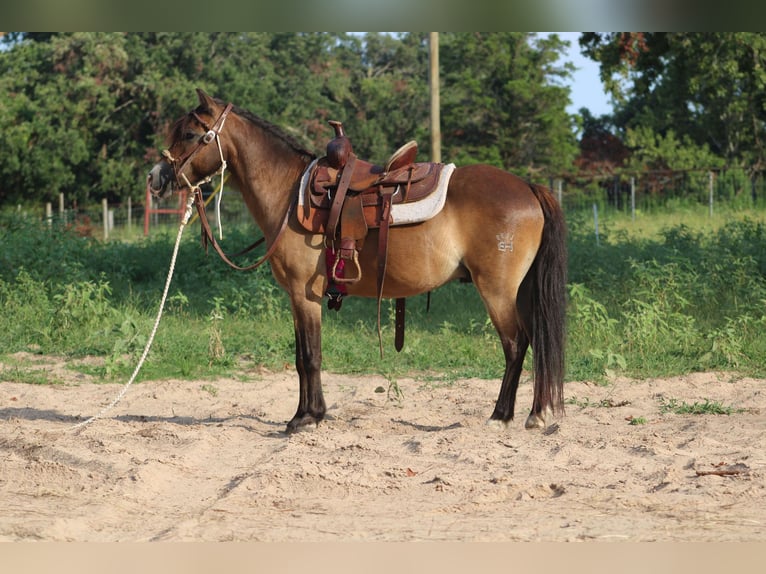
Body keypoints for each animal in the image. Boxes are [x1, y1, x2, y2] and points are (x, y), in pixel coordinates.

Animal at [148, 89, 567, 434]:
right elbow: (301, 356)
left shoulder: (304, 294)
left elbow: (310, 356)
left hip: (496, 290)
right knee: (535, 340)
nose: (156, 177)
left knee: (515, 343)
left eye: (190, 134)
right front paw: (307, 414)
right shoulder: (299, 298)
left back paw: (501, 416)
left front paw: (307, 418)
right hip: (520, 291)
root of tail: (528, 187)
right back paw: (534, 414)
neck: (288, 194)